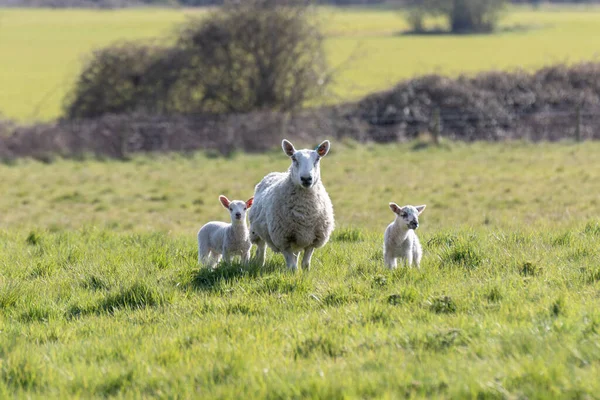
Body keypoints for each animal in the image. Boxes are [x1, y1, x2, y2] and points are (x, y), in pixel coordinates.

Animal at [247, 138, 336, 272]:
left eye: (317, 159)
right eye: (294, 159)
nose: (306, 179)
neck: (305, 213)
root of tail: (276, 173)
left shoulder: (313, 239)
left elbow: (305, 264)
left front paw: (305, 274)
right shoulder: (283, 239)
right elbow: (292, 266)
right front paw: (293, 274)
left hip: (298, 238)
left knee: (296, 254)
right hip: (256, 231)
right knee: (261, 249)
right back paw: (260, 264)